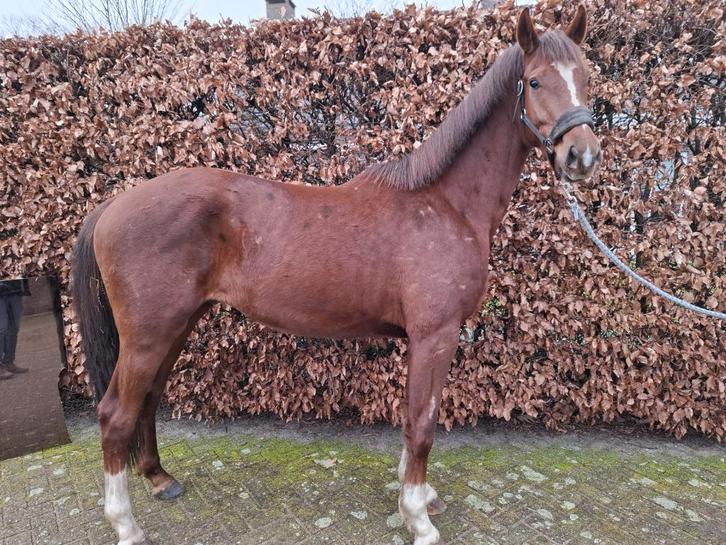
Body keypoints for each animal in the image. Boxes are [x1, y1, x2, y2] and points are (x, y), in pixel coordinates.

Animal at [72, 7, 600, 545]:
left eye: (585, 76)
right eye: (535, 81)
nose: (582, 155)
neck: (444, 204)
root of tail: (114, 205)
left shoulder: (422, 339)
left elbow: (411, 419)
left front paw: (416, 497)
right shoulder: (436, 334)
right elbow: (423, 423)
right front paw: (419, 516)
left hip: (177, 325)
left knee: (149, 399)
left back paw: (160, 479)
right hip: (149, 334)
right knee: (115, 414)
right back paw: (126, 524)